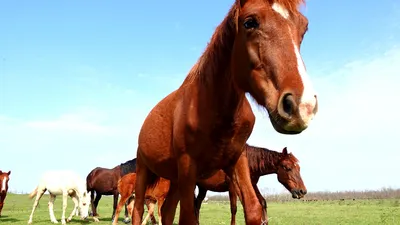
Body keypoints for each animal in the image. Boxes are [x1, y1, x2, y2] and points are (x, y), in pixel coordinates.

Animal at [133, 0, 318, 225]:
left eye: (304, 28)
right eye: (249, 22)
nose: (302, 105)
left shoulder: (237, 162)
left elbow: (253, 208)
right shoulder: (189, 167)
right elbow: (193, 215)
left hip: (176, 179)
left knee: (167, 210)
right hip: (144, 170)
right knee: (138, 209)